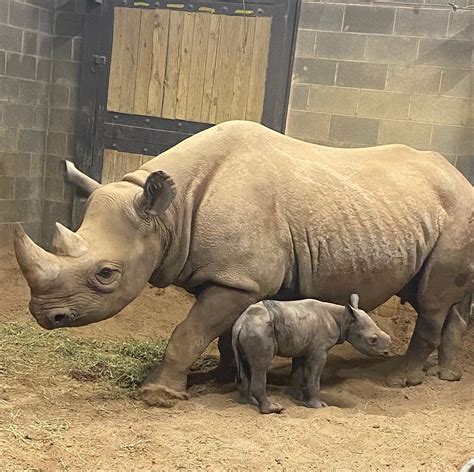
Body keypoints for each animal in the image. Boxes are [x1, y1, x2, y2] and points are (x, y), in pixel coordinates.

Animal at [231, 294, 390, 414]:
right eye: (373, 340)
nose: (387, 352)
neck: (344, 319)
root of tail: (240, 323)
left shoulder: (301, 344)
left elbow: (298, 371)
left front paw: (296, 397)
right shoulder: (320, 349)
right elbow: (314, 375)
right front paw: (318, 406)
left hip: (252, 329)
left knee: (245, 365)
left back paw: (248, 402)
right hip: (259, 330)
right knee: (261, 366)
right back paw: (273, 409)